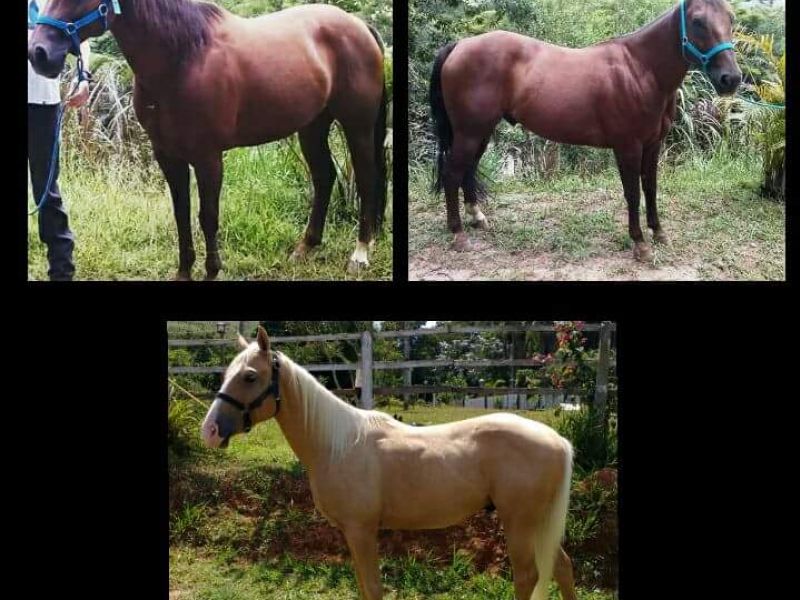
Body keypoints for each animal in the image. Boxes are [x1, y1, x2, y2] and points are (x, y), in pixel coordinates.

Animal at [29, 0, 387, 280]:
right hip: (312, 127)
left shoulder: (208, 157)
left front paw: (213, 270)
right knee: (325, 177)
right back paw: (305, 247)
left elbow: (208, 216)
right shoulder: (168, 156)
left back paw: (360, 254)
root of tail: (359, 26)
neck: (183, 57)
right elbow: (181, 214)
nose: (39, 53)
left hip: (357, 125)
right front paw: (183, 272)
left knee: (366, 178)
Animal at [200, 326, 578, 600]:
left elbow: (373, 587)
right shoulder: (353, 534)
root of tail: (557, 440)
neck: (338, 445)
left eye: (250, 376)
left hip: (519, 523)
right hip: (538, 522)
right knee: (562, 567)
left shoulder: (362, 531)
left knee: (528, 576)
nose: (210, 431)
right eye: (227, 373)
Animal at [429, 0, 741, 263]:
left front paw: (659, 233)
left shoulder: (654, 144)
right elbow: (633, 193)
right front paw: (640, 243)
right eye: (698, 21)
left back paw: (477, 217)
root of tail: (460, 45)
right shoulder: (628, 147)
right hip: (470, 132)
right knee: (453, 174)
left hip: (479, 132)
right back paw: (458, 234)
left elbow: (650, 188)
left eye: (731, 18)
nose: (731, 78)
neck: (640, 70)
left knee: (467, 170)